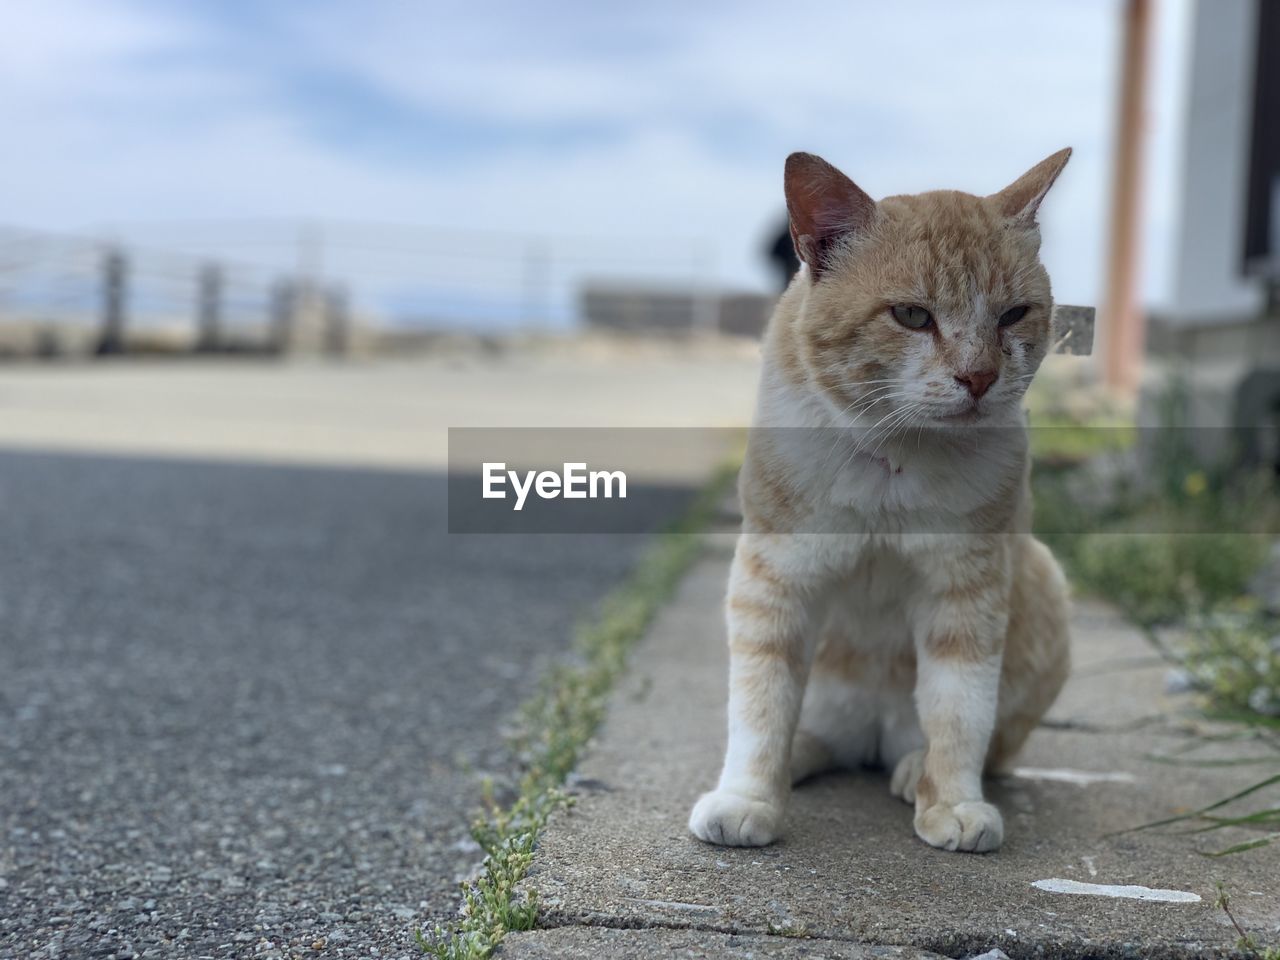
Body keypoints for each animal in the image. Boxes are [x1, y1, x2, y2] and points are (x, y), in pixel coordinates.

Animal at [686, 150, 1075, 855]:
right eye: (913, 317)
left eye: (1012, 315)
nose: (980, 377)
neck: (894, 454)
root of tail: (869, 739)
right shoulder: (774, 578)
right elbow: (760, 704)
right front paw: (749, 798)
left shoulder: (966, 587)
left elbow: (960, 711)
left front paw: (952, 803)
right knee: (811, 732)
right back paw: (802, 757)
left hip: (1043, 583)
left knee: (988, 743)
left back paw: (913, 767)